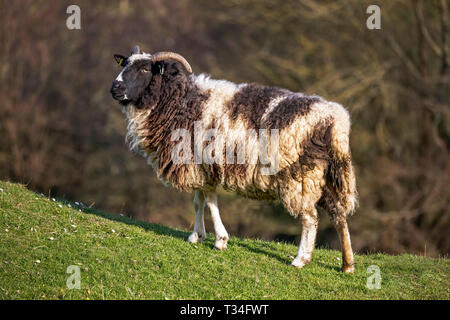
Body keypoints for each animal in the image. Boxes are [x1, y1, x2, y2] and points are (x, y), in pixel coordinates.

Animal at [110, 46, 358, 274]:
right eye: (124, 64)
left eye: (145, 69)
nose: (115, 88)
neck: (179, 101)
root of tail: (336, 121)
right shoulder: (201, 167)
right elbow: (199, 201)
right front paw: (197, 235)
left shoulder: (203, 164)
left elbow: (210, 201)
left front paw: (220, 240)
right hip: (330, 176)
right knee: (338, 215)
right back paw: (347, 265)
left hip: (300, 176)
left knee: (310, 218)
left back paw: (300, 259)